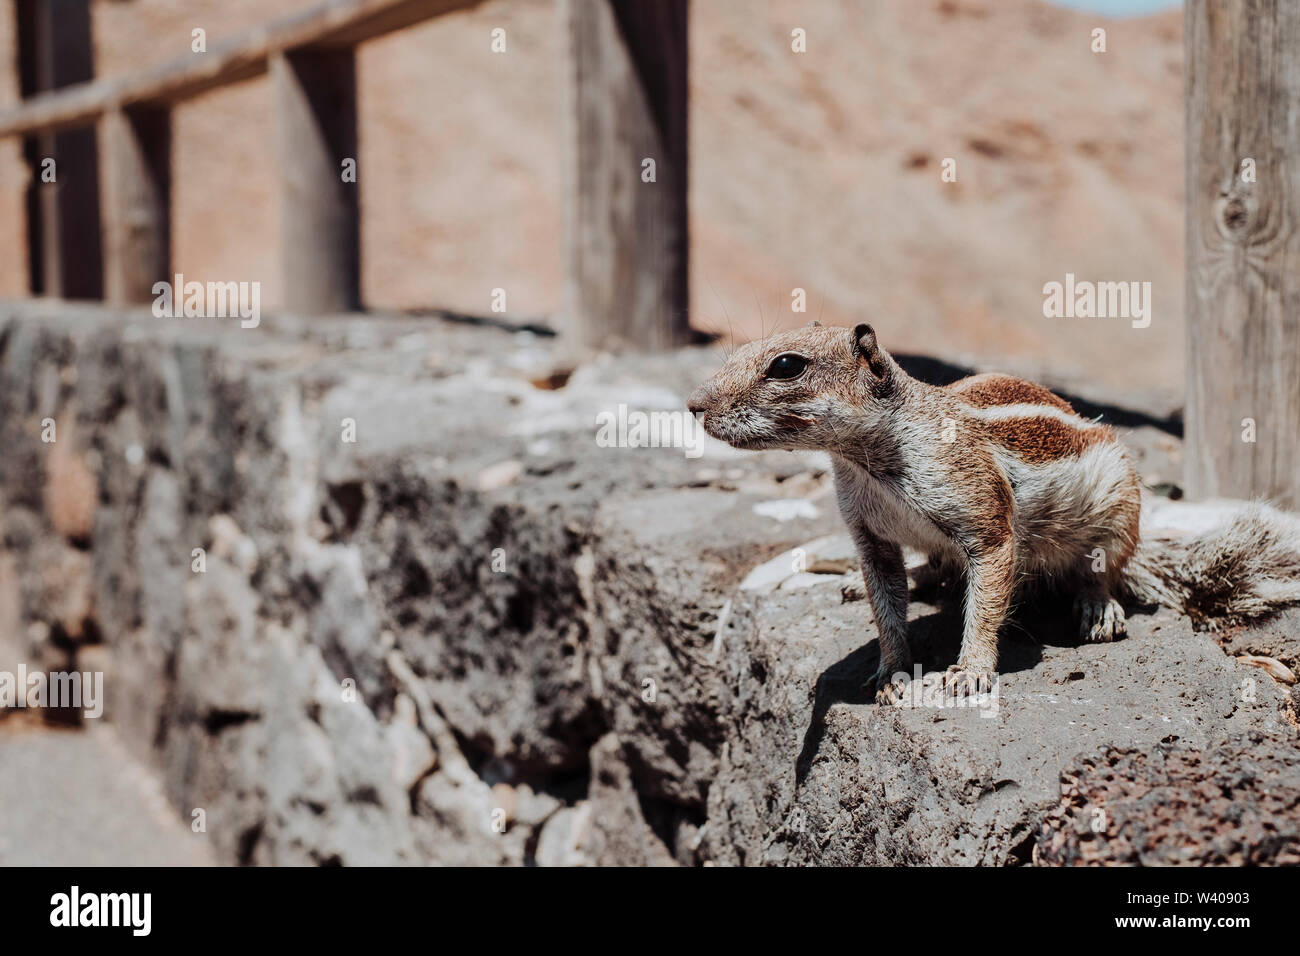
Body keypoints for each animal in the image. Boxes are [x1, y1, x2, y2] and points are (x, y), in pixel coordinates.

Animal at [686, 321, 1300, 702]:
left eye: (786, 366)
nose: (693, 405)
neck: (863, 460)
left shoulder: (984, 518)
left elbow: (985, 597)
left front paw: (970, 672)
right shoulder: (869, 537)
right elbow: (887, 604)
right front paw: (890, 668)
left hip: (1121, 505)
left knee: (1105, 567)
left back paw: (1097, 607)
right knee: (935, 569)